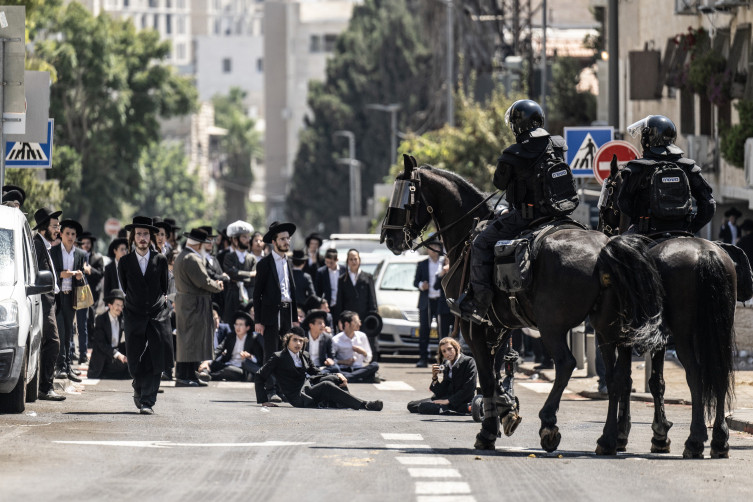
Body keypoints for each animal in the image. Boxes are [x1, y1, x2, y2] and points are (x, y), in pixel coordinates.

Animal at [382, 155, 664, 452]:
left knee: (566, 364)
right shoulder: (500, 326)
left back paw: (549, 423)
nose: (390, 238)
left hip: (553, 326)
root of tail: (604, 249)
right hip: (605, 327)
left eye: (403, 195)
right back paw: (608, 439)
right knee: (615, 377)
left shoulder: (474, 327)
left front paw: (488, 431)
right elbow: (497, 372)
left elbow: (487, 376)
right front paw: (505, 410)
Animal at [596, 159, 736, 456]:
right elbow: (656, 382)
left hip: (684, 335)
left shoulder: (622, 336)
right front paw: (660, 435)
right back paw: (719, 439)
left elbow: (624, 380)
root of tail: (705, 254)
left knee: (696, 373)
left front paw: (619, 435)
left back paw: (695, 439)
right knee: (719, 371)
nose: (602, 225)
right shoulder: (657, 338)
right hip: (718, 331)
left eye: (608, 193)